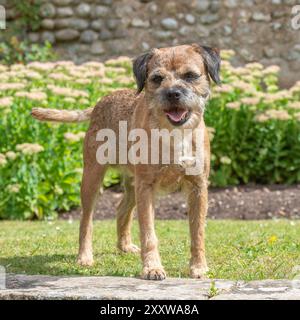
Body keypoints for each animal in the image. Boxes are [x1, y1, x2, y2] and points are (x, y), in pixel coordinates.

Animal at [31, 43, 221, 280]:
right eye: (157, 78)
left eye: (190, 76)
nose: (172, 93)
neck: (172, 135)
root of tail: (100, 102)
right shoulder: (146, 188)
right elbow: (149, 233)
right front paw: (152, 268)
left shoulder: (198, 188)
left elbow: (198, 232)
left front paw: (198, 267)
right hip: (93, 178)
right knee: (86, 220)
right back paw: (85, 256)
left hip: (132, 186)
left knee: (121, 209)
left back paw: (125, 246)